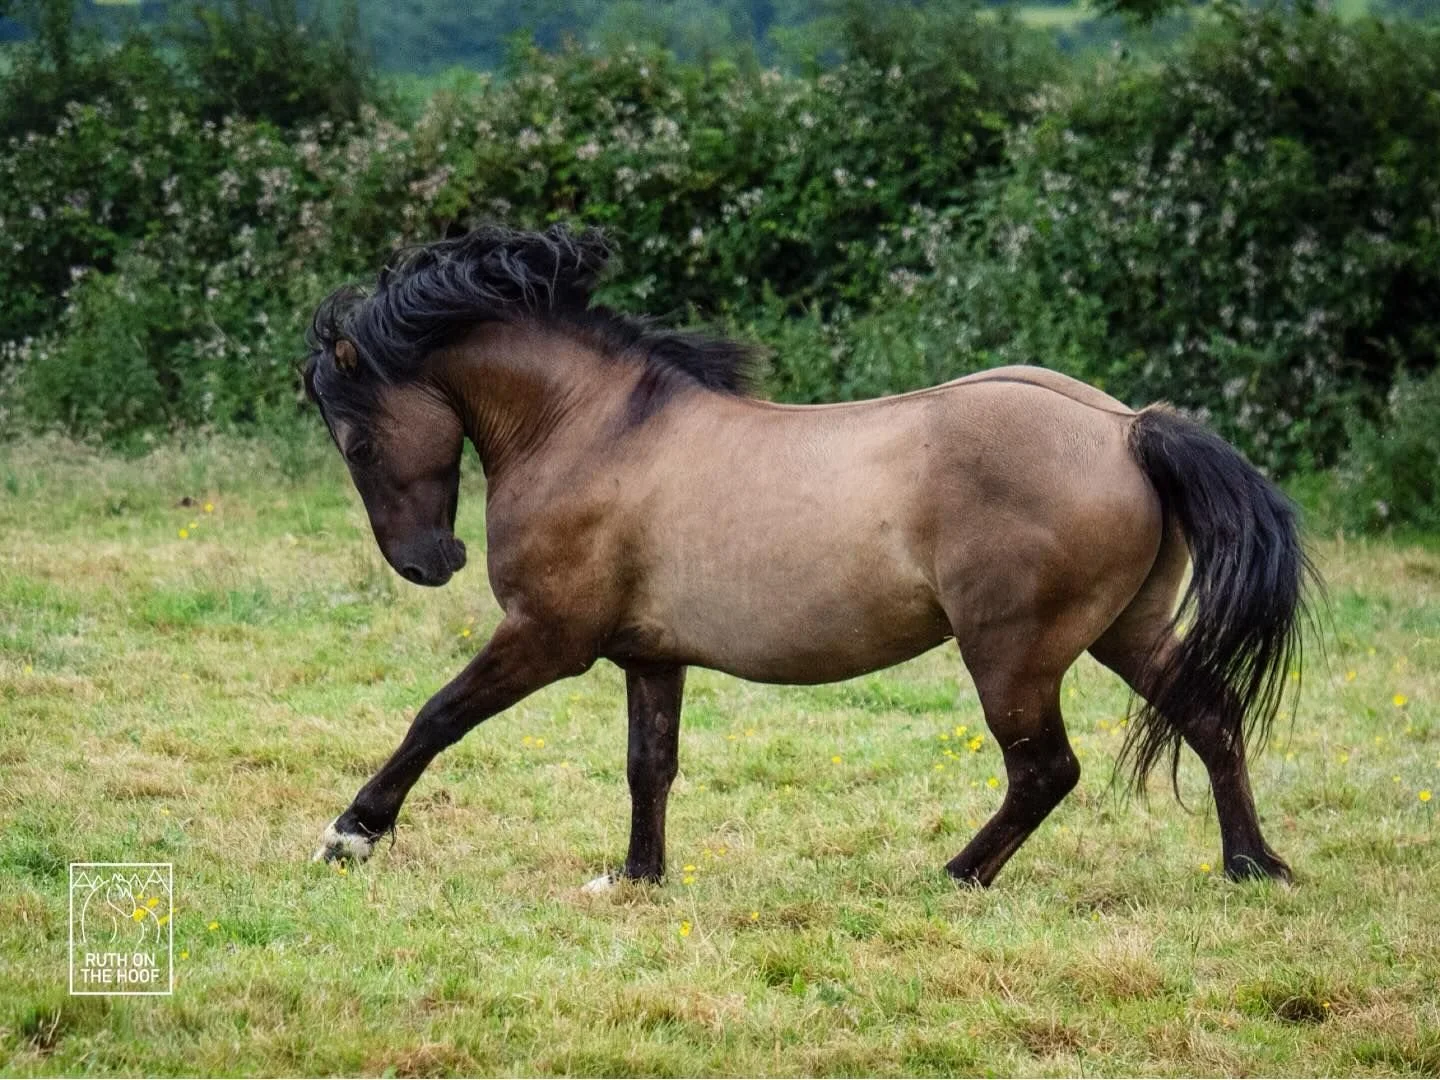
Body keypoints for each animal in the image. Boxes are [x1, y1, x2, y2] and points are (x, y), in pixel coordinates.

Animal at [304, 224, 1316, 891]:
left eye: (356, 441)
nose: (428, 563)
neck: (594, 431)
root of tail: (1126, 430)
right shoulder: (649, 656)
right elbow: (649, 764)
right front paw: (637, 878)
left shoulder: (549, 637)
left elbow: (437, 716)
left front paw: (351, 834)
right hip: (1126, 632)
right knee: (1212, 718)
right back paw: (1251, 865)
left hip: (1013, 654)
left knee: (1047, 770)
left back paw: (953, 874)